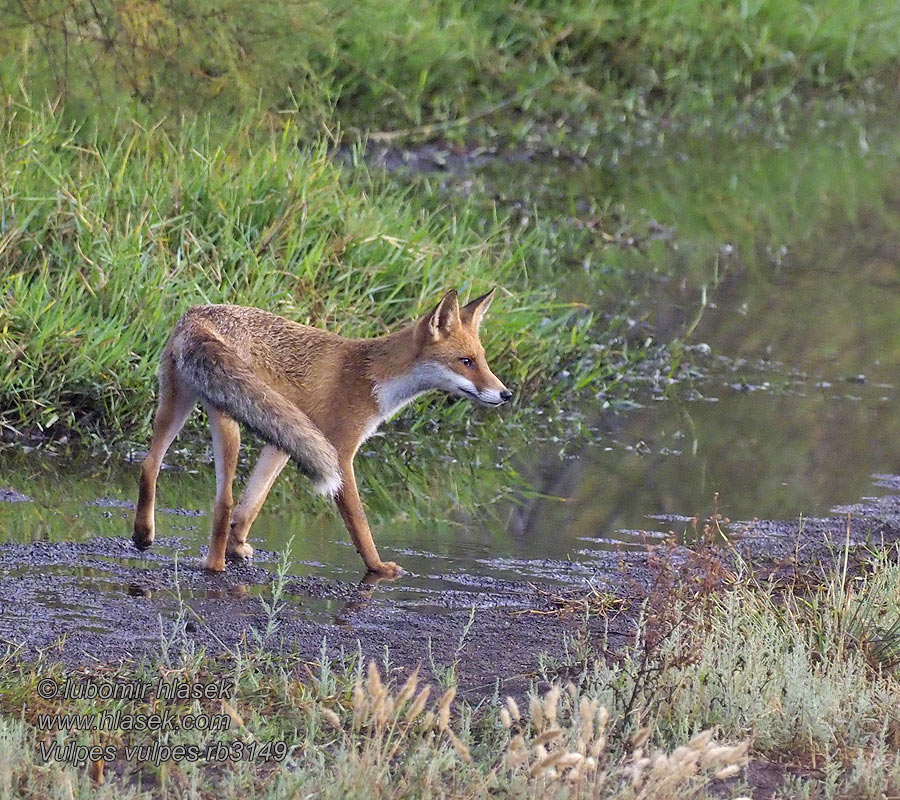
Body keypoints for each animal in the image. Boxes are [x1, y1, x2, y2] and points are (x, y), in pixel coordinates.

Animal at [130, 290, 510, 580]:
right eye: (465, 362)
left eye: (483, 360)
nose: (505, 394)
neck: (372, 378)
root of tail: (199, 315)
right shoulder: (340, 452)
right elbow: (359, 523)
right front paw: (377, 567)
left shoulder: (284, 440)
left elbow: (252, 504)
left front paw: (238, 545)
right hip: (228, 421)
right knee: (222, 500)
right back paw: (214, 566)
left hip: (179, 404)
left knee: (150, 464)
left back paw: (144, 534)